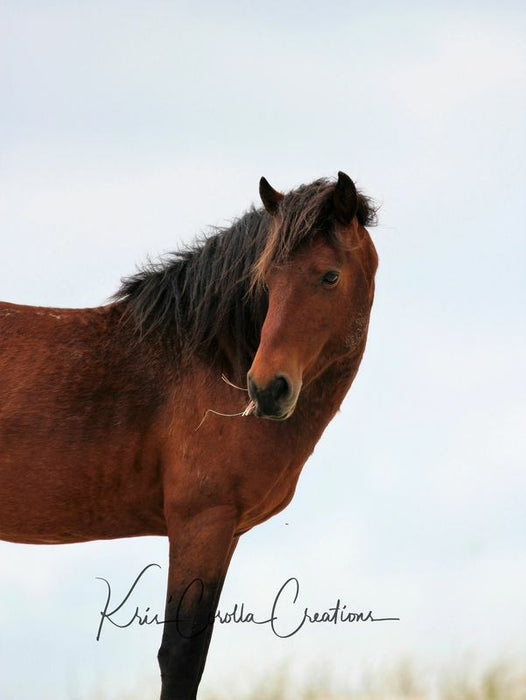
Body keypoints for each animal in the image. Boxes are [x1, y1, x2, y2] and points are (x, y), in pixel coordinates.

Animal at [0, 171, 380, 700]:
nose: (267, 388)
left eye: (330, 276)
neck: (205, 359)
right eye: (266, 280)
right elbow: (180, 658)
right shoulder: (201, 522)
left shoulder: (224, 533)